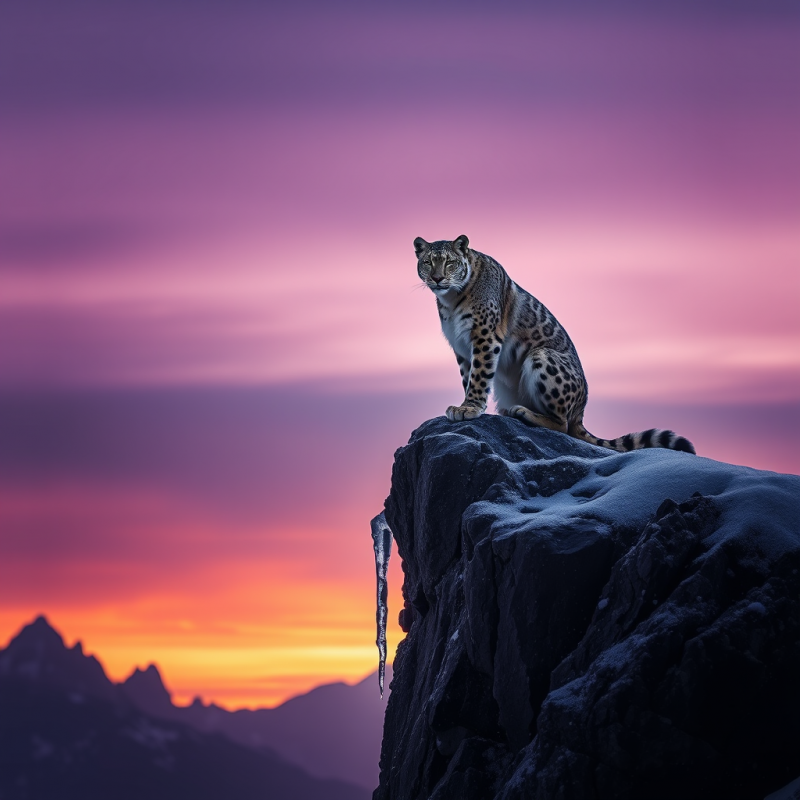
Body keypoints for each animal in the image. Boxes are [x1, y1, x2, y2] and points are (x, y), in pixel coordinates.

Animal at [414, 234, 696, 454]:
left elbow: (480, 375)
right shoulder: (461, 347)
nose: (437, 278)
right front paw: (468, 405)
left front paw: (469, 408)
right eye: (427, 262)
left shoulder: (485, 336)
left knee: (563, 425)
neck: (451, 299)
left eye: (450, 262)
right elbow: (468, 376)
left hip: (542, 355)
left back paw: (522, 412)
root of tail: (582, 409)